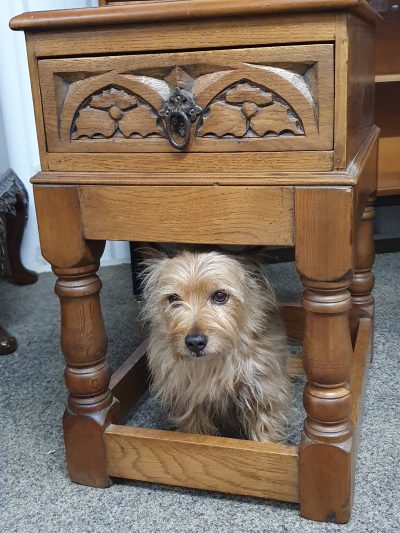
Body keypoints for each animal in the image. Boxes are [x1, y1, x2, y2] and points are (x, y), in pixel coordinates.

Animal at [142, 249, 292, 440]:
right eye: (173, 298)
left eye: (220, 296)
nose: (195, 343)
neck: (214, 362)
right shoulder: (188, 404)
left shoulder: (262, 396)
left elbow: (264, 436)